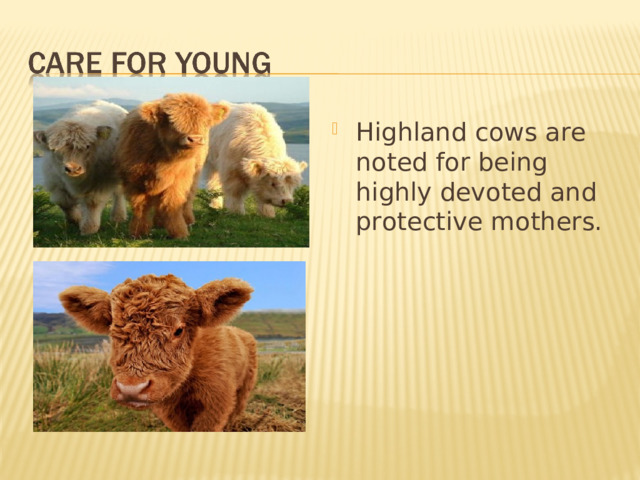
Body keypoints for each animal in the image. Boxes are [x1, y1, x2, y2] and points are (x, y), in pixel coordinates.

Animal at [34, 100, 128, 235]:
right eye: (54, 149)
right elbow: (64, 202)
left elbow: (92, 203)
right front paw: (76, 219)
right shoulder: (55, 182)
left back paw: (118, 217)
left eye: (88, 146)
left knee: (119, 193)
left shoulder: (99, 183)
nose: (73, 169)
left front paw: (89, 228)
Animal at [59, 274, 257, 432]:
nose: (131, 389)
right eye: (113, 329)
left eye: (178, 330)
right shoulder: (171, 410)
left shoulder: (216, 403)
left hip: (245, 387)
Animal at [116, 93, 229, 239]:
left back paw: (187, 220)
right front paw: (138, 232)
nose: (195, 139)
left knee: (187, 199)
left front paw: (179, 233)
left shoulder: (178, 180)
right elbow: (140, 207)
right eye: (172, 122)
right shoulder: (133, 181)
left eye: (206, 121)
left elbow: (172, 204)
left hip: (194, 174)